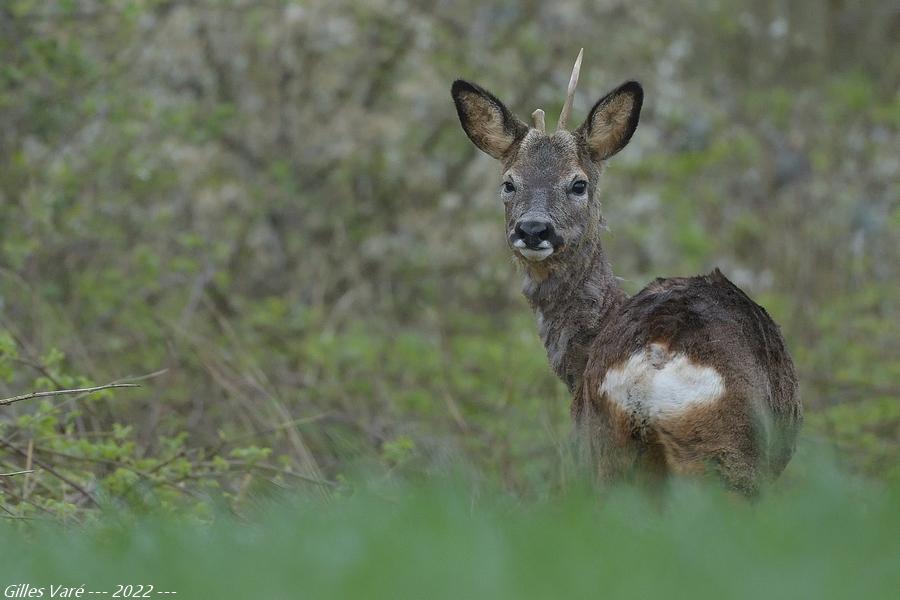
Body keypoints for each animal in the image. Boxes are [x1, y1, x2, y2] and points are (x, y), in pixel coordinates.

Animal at [450, 51, 800, 494]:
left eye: (578, 184)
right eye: (509, 183)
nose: (533, 229)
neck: (580, 357)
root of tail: (656, 355)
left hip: (607, 447)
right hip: (726, 457)